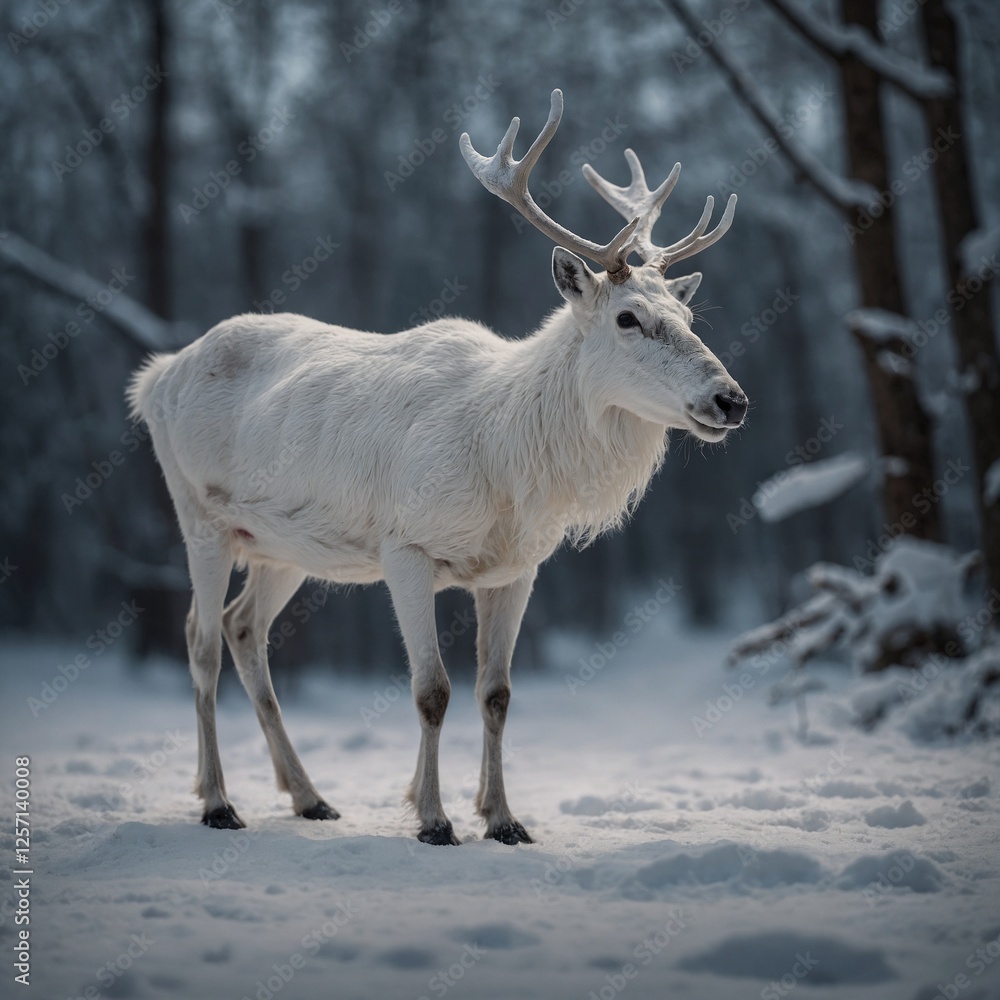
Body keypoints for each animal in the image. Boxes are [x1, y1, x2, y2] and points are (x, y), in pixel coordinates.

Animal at [127, 90, 747, 846]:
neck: (511, 459)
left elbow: (497, 693)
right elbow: (432, 690)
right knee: (200, 639)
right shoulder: (406, 545)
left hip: (281, 545)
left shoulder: (517, 568)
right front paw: (433, 818)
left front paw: (503, 818)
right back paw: (218, 802)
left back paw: (309, 796)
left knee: (244, 628)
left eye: (689, 316)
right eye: (628, 318)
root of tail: (156, 377)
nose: (731, 399)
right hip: (200, 511)